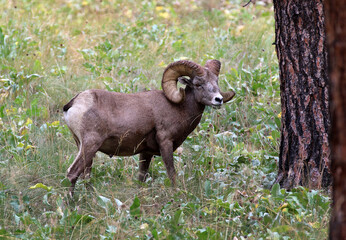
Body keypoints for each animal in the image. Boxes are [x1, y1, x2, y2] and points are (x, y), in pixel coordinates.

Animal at [62, 59, 235, 195]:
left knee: (85, 176)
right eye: (198, 84)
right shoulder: (165, 143)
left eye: (216, 82)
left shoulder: (145, 153)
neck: (180, 109)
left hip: (84, 148)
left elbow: (142, 178)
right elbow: (171, 173)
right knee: (72, 174)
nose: (218, 99)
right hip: (90, 145)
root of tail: (76, 102)